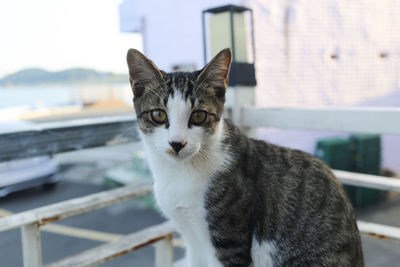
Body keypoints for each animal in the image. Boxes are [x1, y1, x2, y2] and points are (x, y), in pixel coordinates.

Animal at [126, 48, 364, 267]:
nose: (177, 143)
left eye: (199, 115)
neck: (179, 172)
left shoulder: (231, 239)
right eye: (158, 114)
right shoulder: (192, 240)